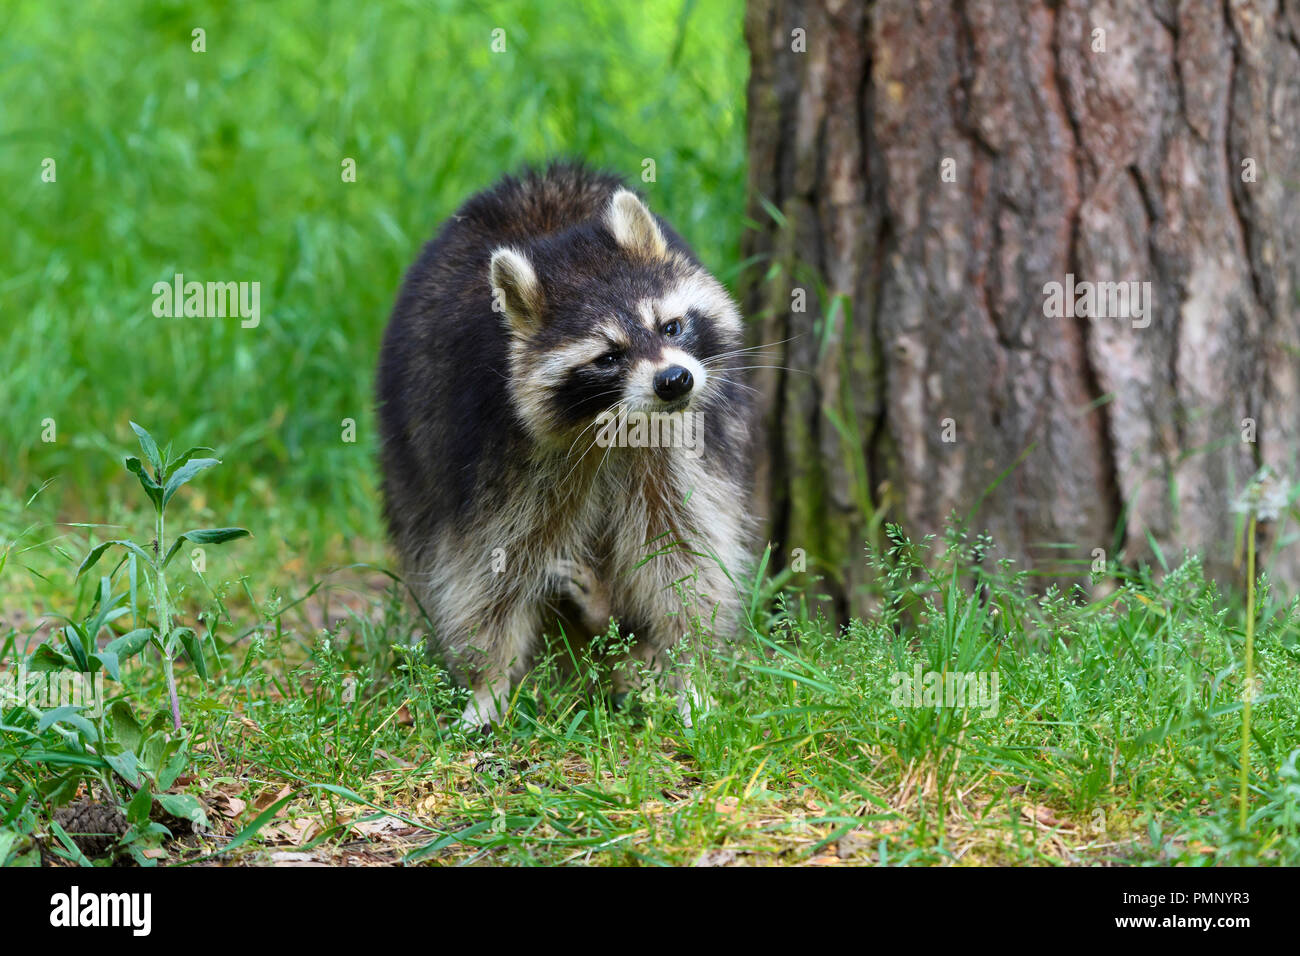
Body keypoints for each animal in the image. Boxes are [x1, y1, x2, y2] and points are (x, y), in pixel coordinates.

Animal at [377, 164, 754, 728]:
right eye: (608, 357)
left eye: (671, 326)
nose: (674, 381)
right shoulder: (494, 446)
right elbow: (488, 567)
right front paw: (488, 678)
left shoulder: (675, 444)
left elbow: (683, 547)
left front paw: (688, 663)